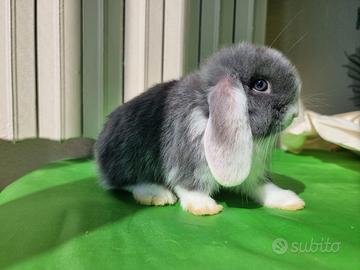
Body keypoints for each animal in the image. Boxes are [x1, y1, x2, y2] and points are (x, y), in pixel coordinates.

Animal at [94, 42, 306, 215]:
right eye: (260, 84)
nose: (294, 113)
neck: (206, 114)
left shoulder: (253, 172)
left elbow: (262, 187)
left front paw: (290, 201)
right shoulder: (189, 162)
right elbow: (190, 186)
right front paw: (204, 207)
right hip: (128, 156)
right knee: (122, 182)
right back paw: (156, 194)